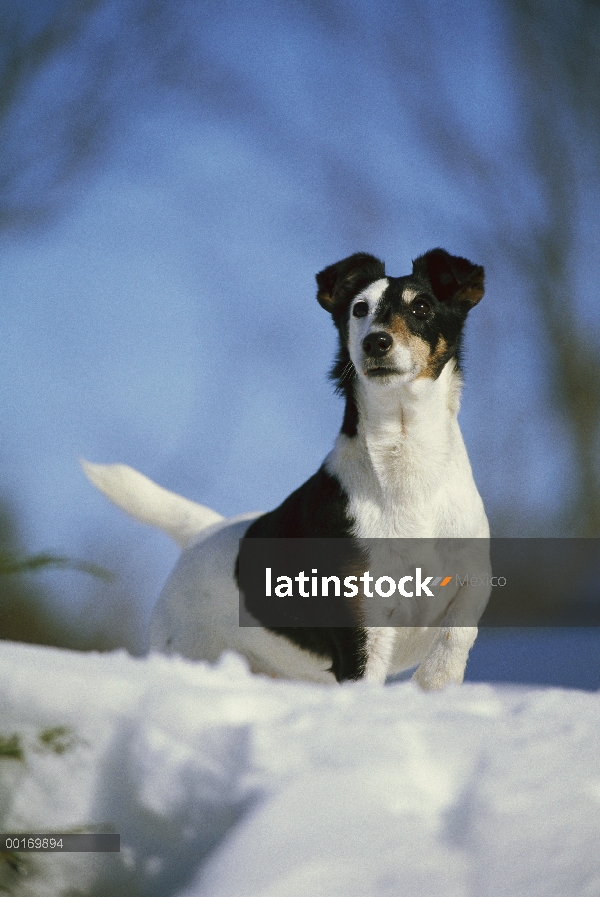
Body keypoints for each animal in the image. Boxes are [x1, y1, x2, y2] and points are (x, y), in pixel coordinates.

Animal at [84, 248, 490, 688]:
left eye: (422, 306)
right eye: (359, 309)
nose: (376, 341)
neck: (406, 462)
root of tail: (203, 532)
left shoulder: (473, 581)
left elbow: (456, 635)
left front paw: (436, 680)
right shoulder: (361, 631)